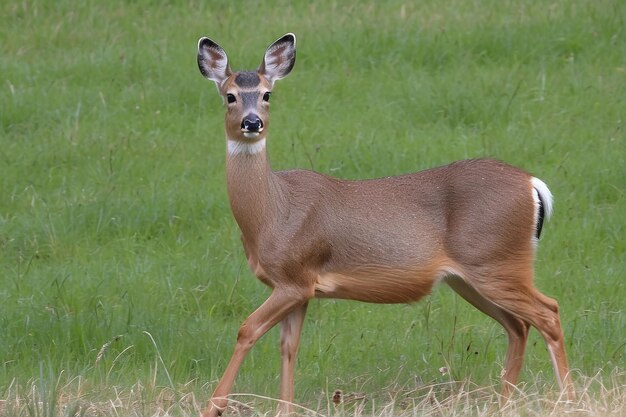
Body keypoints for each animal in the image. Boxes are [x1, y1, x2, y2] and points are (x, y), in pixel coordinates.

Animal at [195, 33, 572, 416]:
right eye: (230, 95)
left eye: (267, 94)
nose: (252, 123)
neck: (272, 213)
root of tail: (533, 185)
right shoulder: (299, 287)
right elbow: (289, 347)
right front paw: (283, 408)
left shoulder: (294, 279)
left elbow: (247, 329)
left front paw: (213, 406)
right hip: (472, 276)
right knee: (518, 325)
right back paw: (503, 402)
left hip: (496, 261)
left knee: (548, 312)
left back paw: (568, 400)